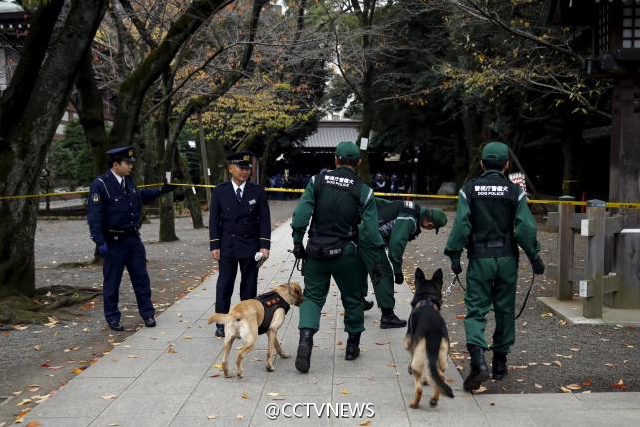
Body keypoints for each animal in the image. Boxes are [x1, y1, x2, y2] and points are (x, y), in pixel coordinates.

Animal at [404, 270, 456, 410]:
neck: (427, 299)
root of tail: (433, 333)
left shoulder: (409, 342)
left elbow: (409, 353)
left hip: (418, 361)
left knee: (419, 388)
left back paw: (414, 404)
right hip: (443, 357)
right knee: (439, 378)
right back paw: (434, 400)